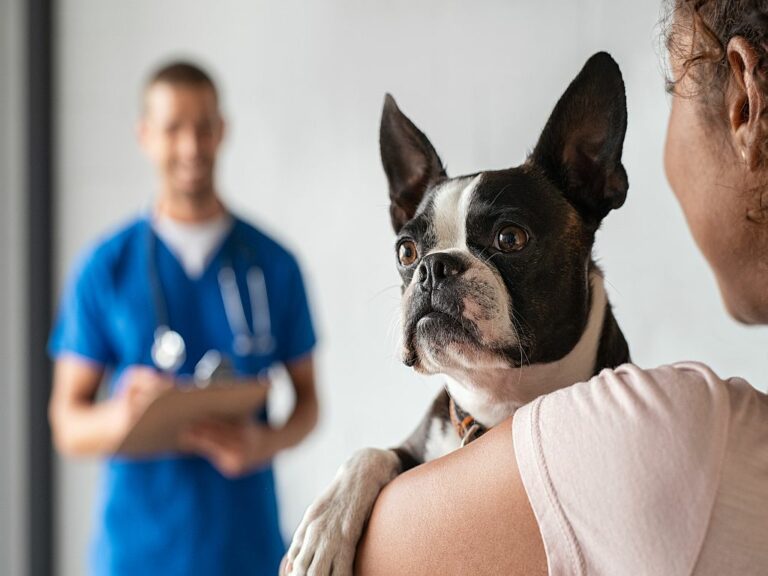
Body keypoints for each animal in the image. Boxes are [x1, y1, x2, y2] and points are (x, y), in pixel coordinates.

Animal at [286, 51, 632, 572]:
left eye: (511, 237)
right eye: (406, 251)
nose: (433, 267)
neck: (493, 401)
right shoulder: (411, 445)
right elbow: (371, 453)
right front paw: (325, 527)